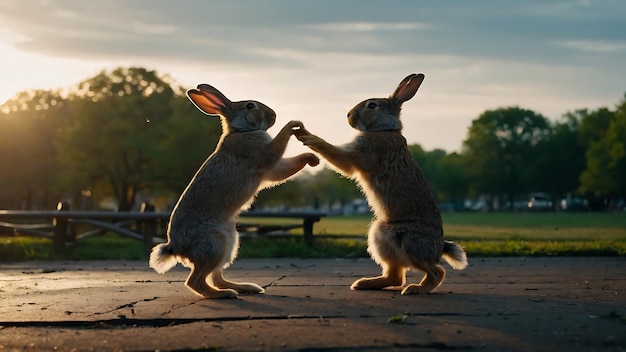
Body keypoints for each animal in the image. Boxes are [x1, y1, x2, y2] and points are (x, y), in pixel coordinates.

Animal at [150, 82, 316, 296]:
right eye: (250, 106)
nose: (273, 115)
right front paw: (293, 124)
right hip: (214, 244)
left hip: (230, 243)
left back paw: (246, 288)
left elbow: (285, 168)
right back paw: (225, 294)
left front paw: (312, 159)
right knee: (195, 281)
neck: (241, 131)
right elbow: (277, 146)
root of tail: (176, 247)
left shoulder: (271, 170)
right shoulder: (264, 154)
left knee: (216, 277)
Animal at [294, 73, 466, 292]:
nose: (349, 115)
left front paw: (310, 139)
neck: (383, 129)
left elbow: (334, 152)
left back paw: (415, 289)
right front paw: (302, 132)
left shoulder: (359, 156)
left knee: (436, 272)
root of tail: (438, 248)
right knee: (395, 276)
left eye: (372, 105)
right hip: (380, 235)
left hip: (408, 242)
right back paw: (363, 283)